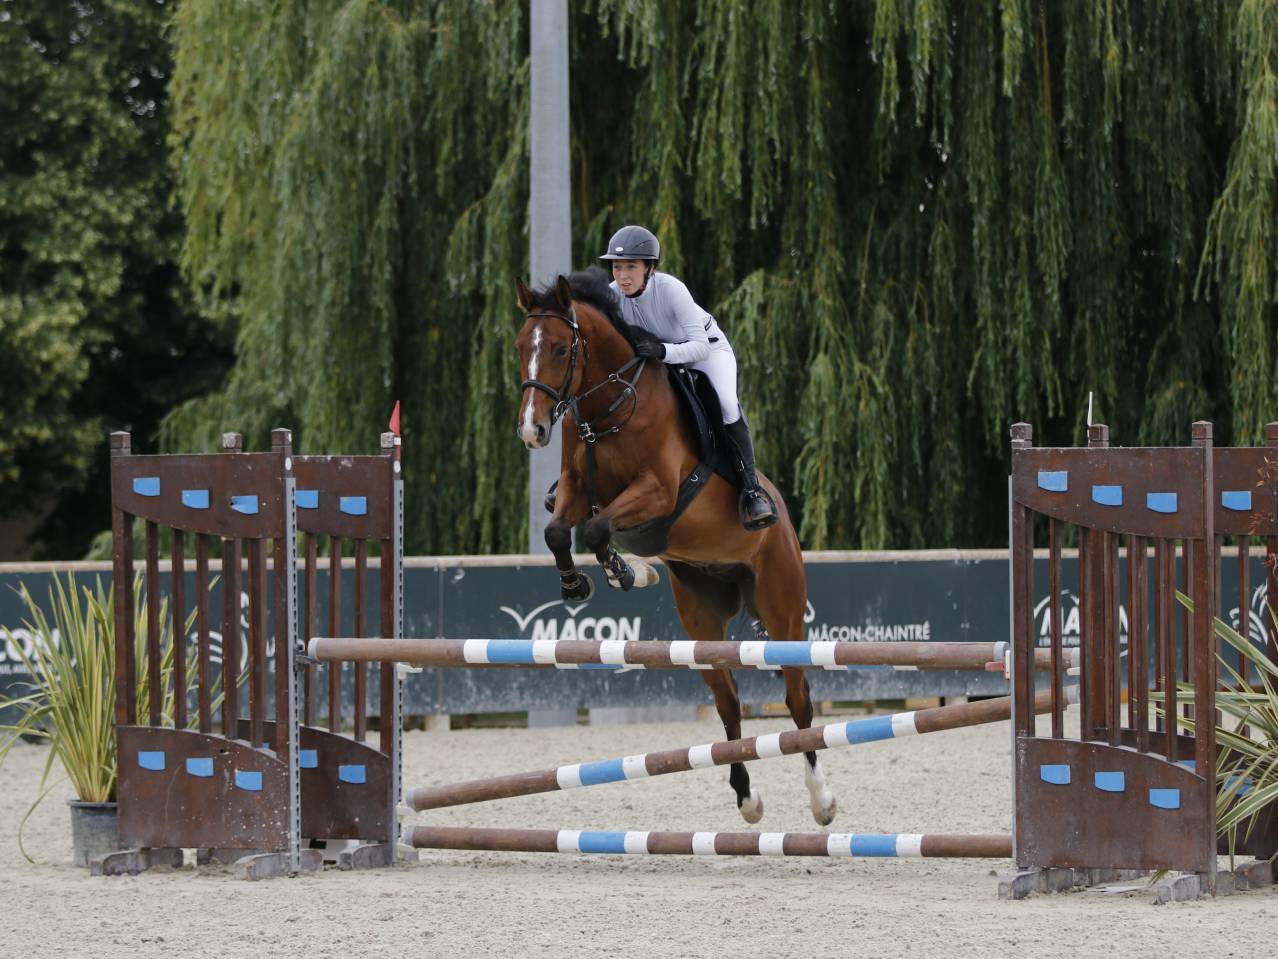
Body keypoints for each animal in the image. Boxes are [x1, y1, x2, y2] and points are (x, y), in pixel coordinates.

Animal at [514, 268, 835, 827]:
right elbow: (561, 532)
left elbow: (597, 530)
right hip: (702, 617)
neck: (610, 407)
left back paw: (821, 801)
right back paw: (747, 799)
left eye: (558, 347)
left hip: (783, 607)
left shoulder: (659, 491)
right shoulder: (575, 489)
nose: (532, 431)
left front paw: (624, 571)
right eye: (518, 347)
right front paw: (587, 580)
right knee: (728, 702)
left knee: (798, 701)